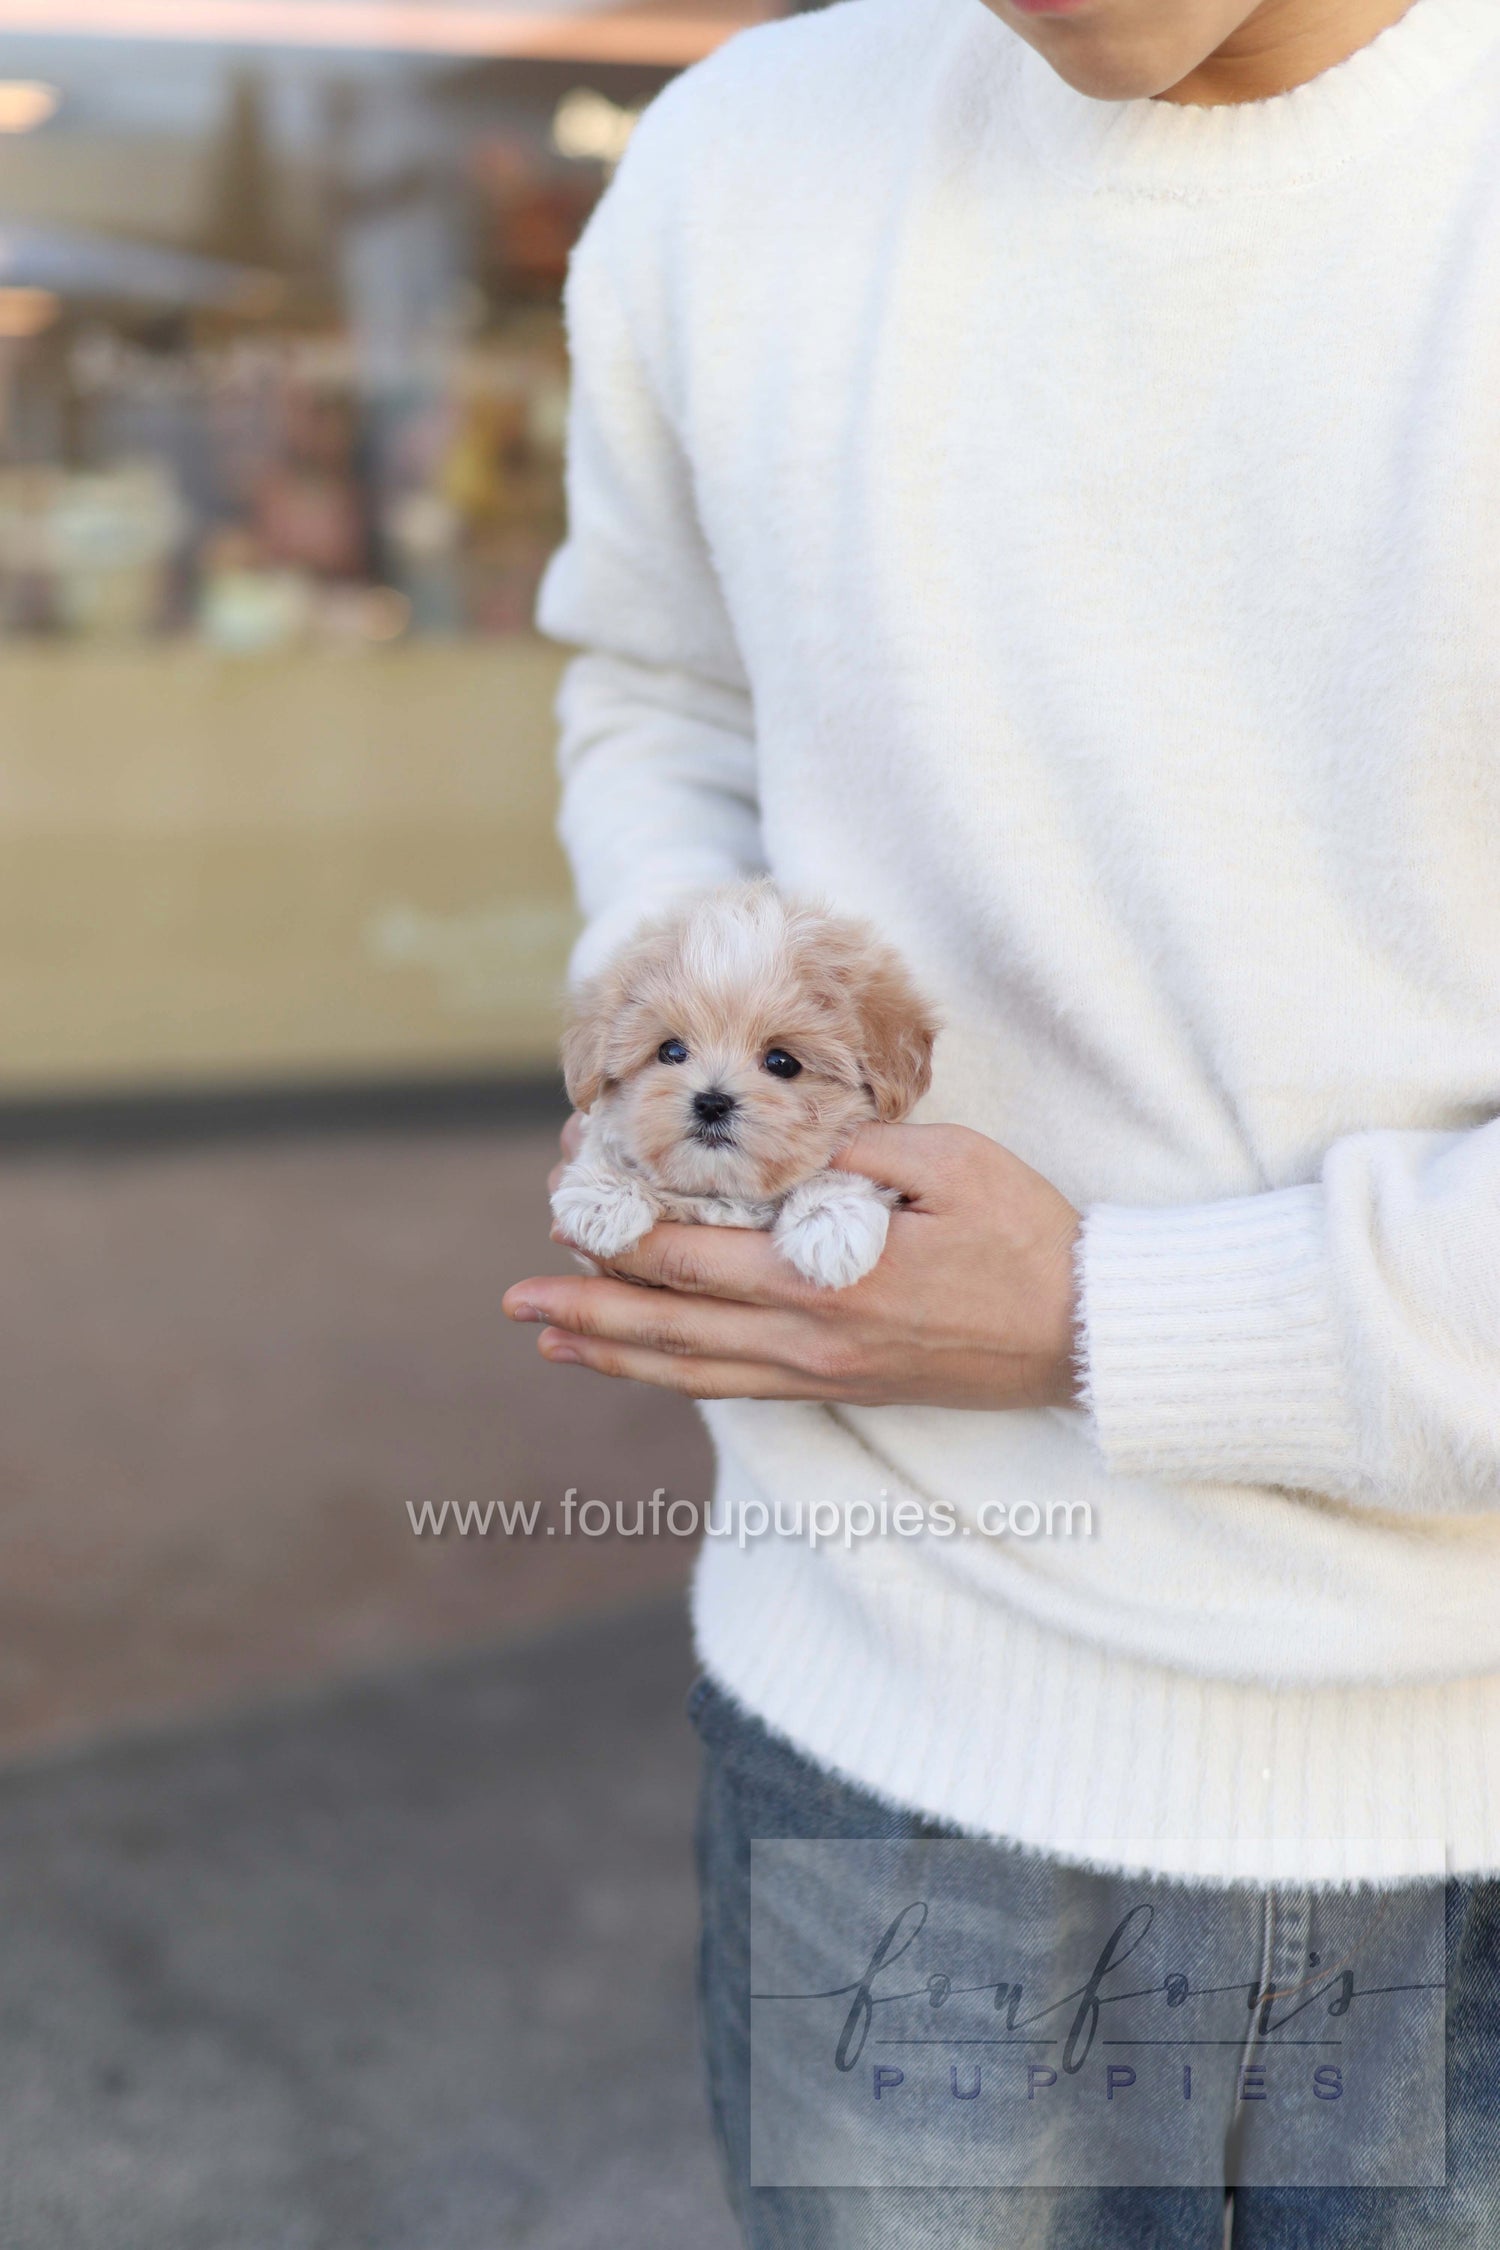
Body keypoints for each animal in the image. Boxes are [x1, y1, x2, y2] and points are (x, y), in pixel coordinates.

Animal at [550, 886, 940, 1296]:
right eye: (671, 1052)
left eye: (782, 1062)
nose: (711, 1102)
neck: (725, 1195)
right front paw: (606, 1196)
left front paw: (832, 1221)